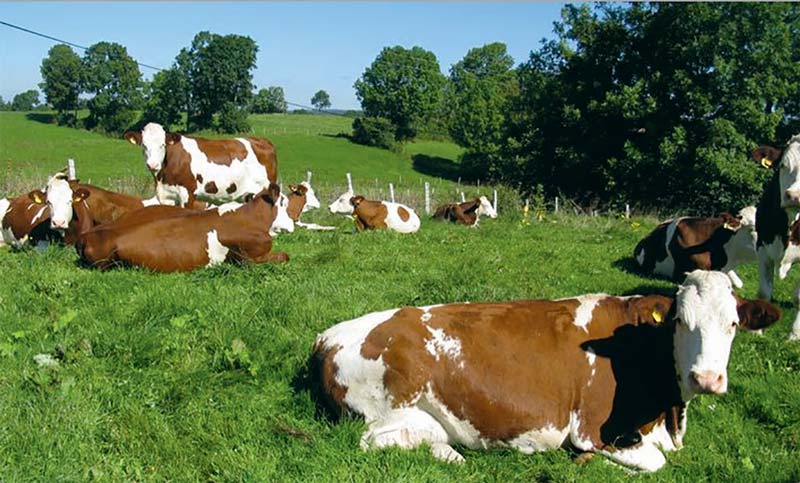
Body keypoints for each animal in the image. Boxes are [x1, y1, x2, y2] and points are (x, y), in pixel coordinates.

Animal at [76, 183, 289, 272]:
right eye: (285, 202)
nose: (292, 224)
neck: (251, 218)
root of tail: (87, 235)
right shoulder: (249, 258)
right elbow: (285, 256)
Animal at [124, 122, 279, 207]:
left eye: (162, 145)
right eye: (144, 145)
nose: (153, 164)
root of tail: (262, 140)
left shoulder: (187, 194)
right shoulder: (167, 196)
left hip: (265, 190)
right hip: (246, 195)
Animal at [311, 270, 780, 472]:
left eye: (733, 324)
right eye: (681, 321)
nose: (707, 379)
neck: (669, 414)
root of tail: (327, 335)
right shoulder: (593, 428)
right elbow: (653, 463)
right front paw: (594, 463)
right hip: (391, 411)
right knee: (372, 442)